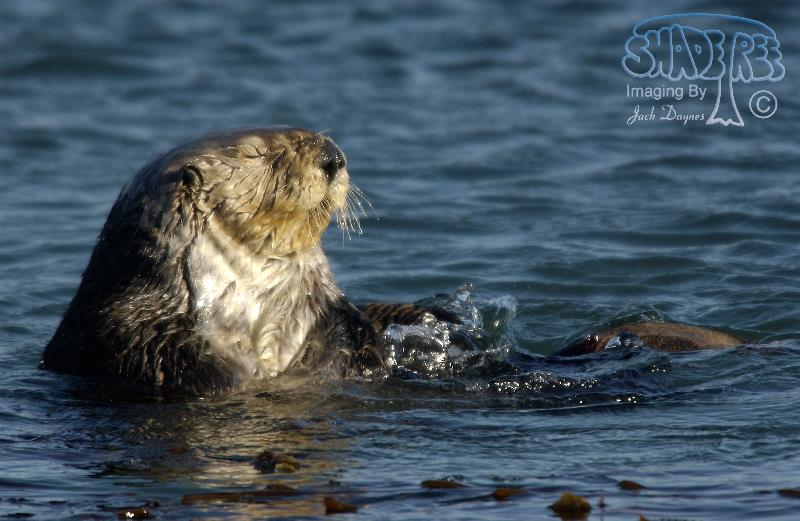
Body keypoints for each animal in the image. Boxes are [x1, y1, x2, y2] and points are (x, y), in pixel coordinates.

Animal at [43, 128, 742, 394]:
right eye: (263, 153)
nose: (333, 156)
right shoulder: (129, 330)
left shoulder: (337, 318)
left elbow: (370, 322)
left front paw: (435, 323)